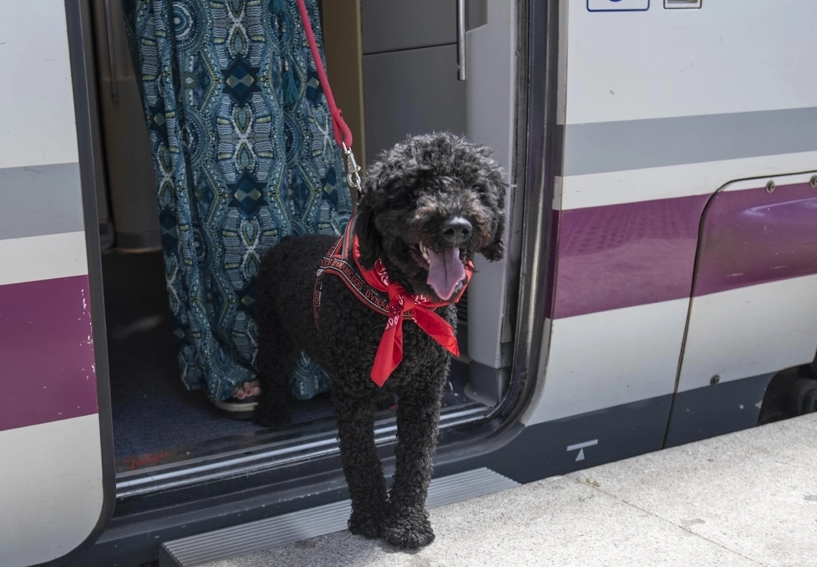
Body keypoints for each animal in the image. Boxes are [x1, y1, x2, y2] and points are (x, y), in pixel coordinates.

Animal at [258, 133, 506, 552]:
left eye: (476, 187)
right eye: (412, 190)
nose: (457, 226)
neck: (402, 304)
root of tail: (286, 241)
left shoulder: (425, 390)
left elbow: (416, 460)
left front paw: (407, 523)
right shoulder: (351, 394)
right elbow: (361, 459)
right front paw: (372, 517)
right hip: (274, 333)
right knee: (271, 372)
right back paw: (270, 414)